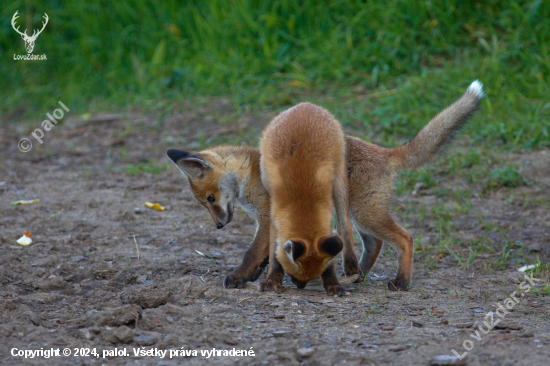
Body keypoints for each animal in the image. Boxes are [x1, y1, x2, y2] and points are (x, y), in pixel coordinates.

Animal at [169, 81, 488, 294]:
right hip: (359, 214)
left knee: (405, 238)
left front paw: (240, 277)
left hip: (363, 211)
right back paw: (358, 275)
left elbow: (252, 252)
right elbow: (268, 253)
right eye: (204, 203)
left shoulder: (267, 215)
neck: (250, 172)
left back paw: (400, 281)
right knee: (373, 244)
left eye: (211, 198)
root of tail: (386, 152)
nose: (219, 226)